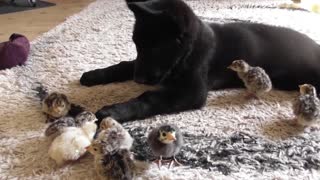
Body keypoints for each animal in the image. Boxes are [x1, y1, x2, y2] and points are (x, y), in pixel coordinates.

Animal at [80, 0, 320, 124]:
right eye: (137, 45)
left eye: (156, 48)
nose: (138, 79)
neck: (189, 50)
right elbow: (123, 65)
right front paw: (94, 75)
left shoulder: (191, 91)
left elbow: (150, 98)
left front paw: (114, 112)